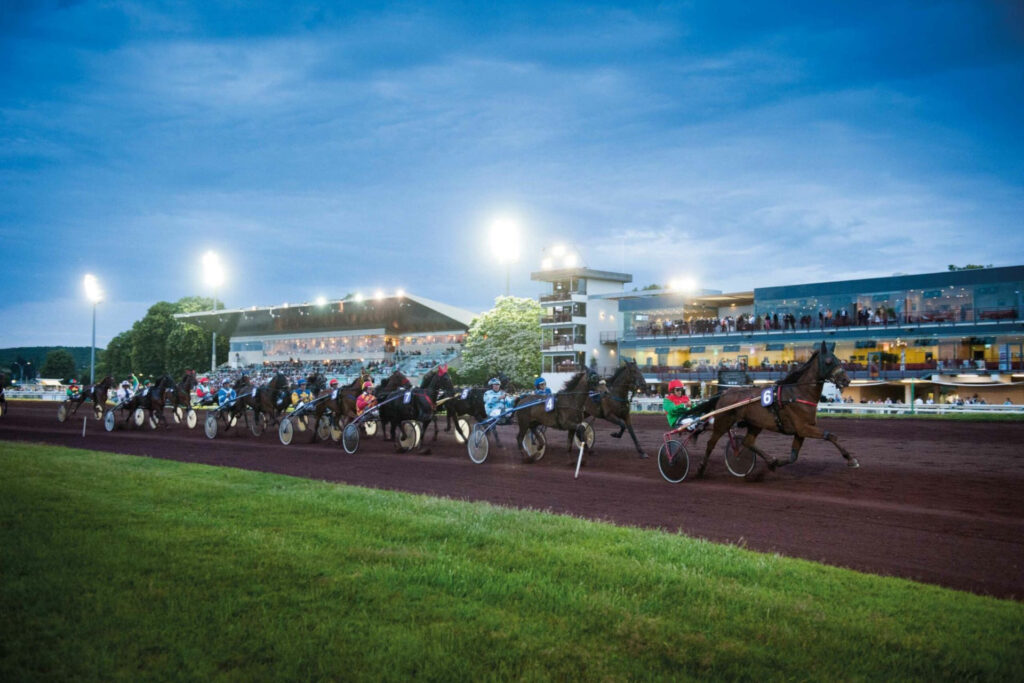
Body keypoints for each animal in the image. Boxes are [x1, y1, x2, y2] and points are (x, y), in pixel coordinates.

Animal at [696, 339, 856, 479]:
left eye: (838, 360)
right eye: (828, 361)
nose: (846, 380)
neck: (798, 393)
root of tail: (725, 392)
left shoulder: (800, 431)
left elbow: (793, 457)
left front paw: (775, 463)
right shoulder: (803, 428)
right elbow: (830, 436)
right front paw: (851, 459)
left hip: (755, 424)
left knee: (747, 442)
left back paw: (768, 461)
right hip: (723, 422)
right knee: (711, 443)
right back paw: (700, 469)